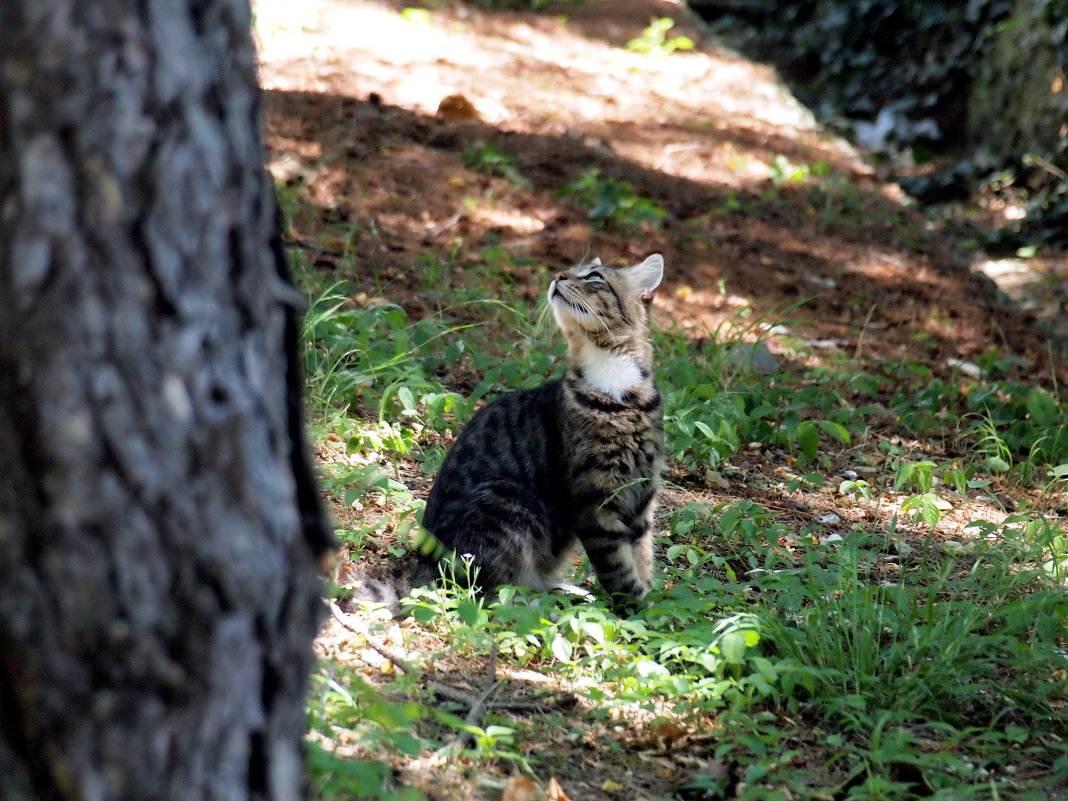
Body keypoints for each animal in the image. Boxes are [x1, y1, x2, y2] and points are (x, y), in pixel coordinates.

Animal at [354, 257, 662, 615]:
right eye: (573, 270)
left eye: (594, 276)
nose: (558, 275)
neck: (618, 391)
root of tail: (427, 564)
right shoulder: (595, 500)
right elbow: (620, 569)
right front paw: (642, 613)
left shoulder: (643, 495)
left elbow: (642, 561)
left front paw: (651, 604)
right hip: (507, 500)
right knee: (481, 593)